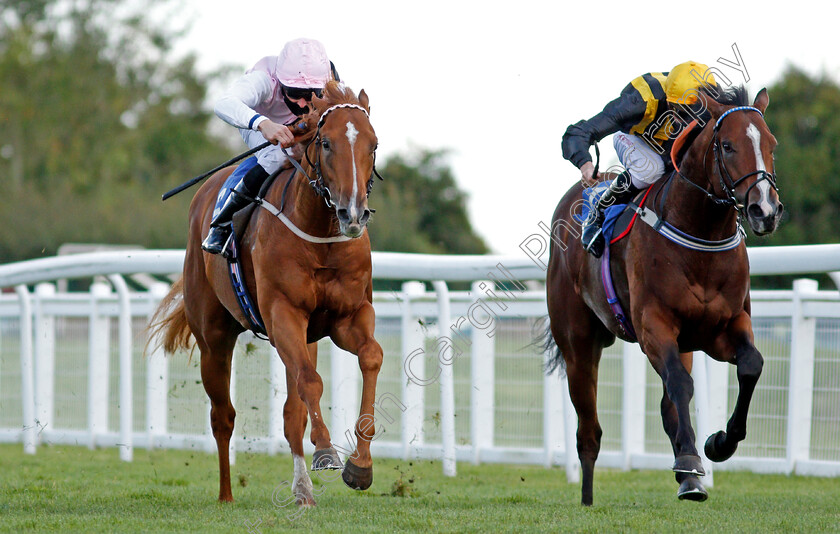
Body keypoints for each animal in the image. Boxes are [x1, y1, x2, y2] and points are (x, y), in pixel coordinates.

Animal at [150, 80, 384, 506]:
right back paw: (226, 495)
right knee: (223, 416)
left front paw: (360, 466)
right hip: (214, 338)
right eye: (326, 143)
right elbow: (311, 382)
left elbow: (370, 357)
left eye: (372, 144)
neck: (320, 236)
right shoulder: (282, 315)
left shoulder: (347, 317)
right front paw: (326, 451)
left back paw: (303, 492)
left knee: (292, 414)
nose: (353, 214)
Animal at [544, 87, 780, 506]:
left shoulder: (723, 326)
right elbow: (682, 386)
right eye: (727, 145)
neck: (701, 235)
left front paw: (719, 444)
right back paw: (587, 499)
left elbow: (750, 365)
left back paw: (689, 477)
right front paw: (692, 458)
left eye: (771, 145)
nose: (765, 210)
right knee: (589, 429)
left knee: (669, 404)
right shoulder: (654, 325)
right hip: (577, 344)